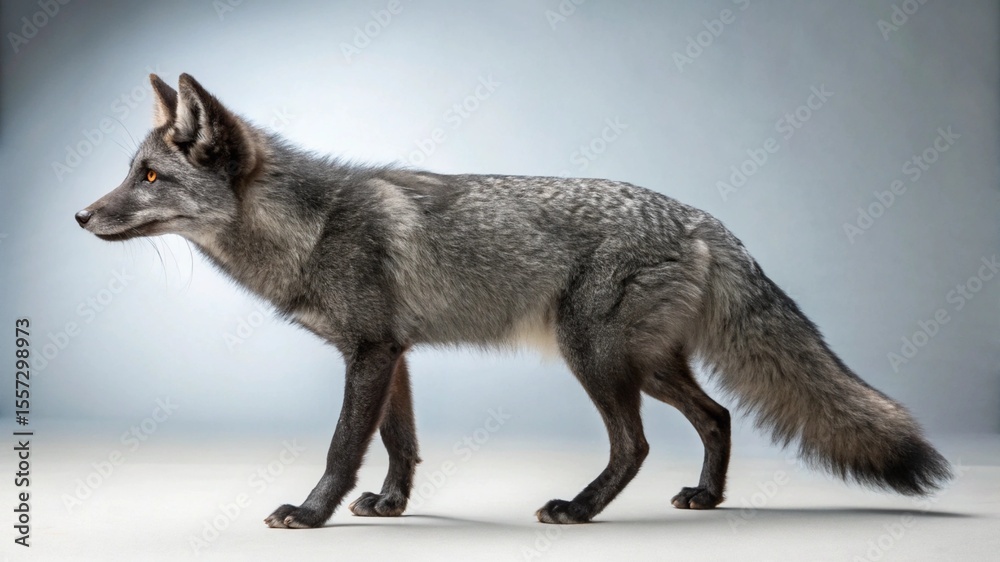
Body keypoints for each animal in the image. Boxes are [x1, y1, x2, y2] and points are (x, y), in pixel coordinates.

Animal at [75, 74, 951, 528]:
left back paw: (581, 509)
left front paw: (312, 513)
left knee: (636, 443)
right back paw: (706, 497)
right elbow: (401, 444)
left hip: (596, 359)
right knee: (718, 416)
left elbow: (341, 447)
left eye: (148, 176)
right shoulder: (393, 355)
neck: (311, 228)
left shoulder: (369, 353)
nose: (80, 217)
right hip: (648, 364)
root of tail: (704, 218)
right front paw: (391, 506)